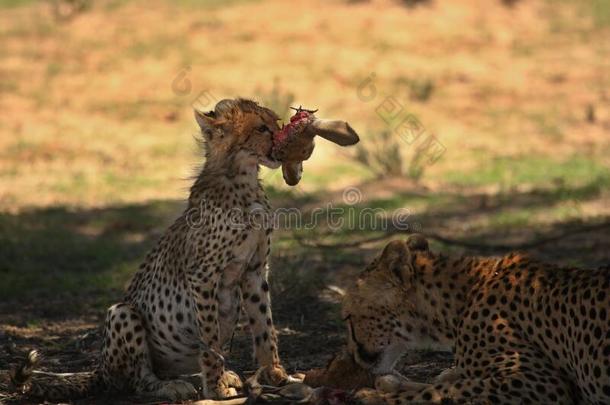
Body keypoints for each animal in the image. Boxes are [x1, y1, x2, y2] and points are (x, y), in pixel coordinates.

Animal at [10, 98, 290, 400]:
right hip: (122, 312)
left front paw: (273, 372)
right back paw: (171, 386)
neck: (242, 180)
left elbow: (264, 325)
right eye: (261, 128)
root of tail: (101, 369)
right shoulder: (202, 274)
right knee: (138, 380)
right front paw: (215, 387)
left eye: (276, 122)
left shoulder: (255, 269)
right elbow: (210, 338)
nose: (282, 143)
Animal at [344, 235, 604, 402]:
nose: (353, 355)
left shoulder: (542, 381)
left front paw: (371, 397)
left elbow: (440, 392)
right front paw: (389, 384)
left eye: (348, 316)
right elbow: (443, 384)